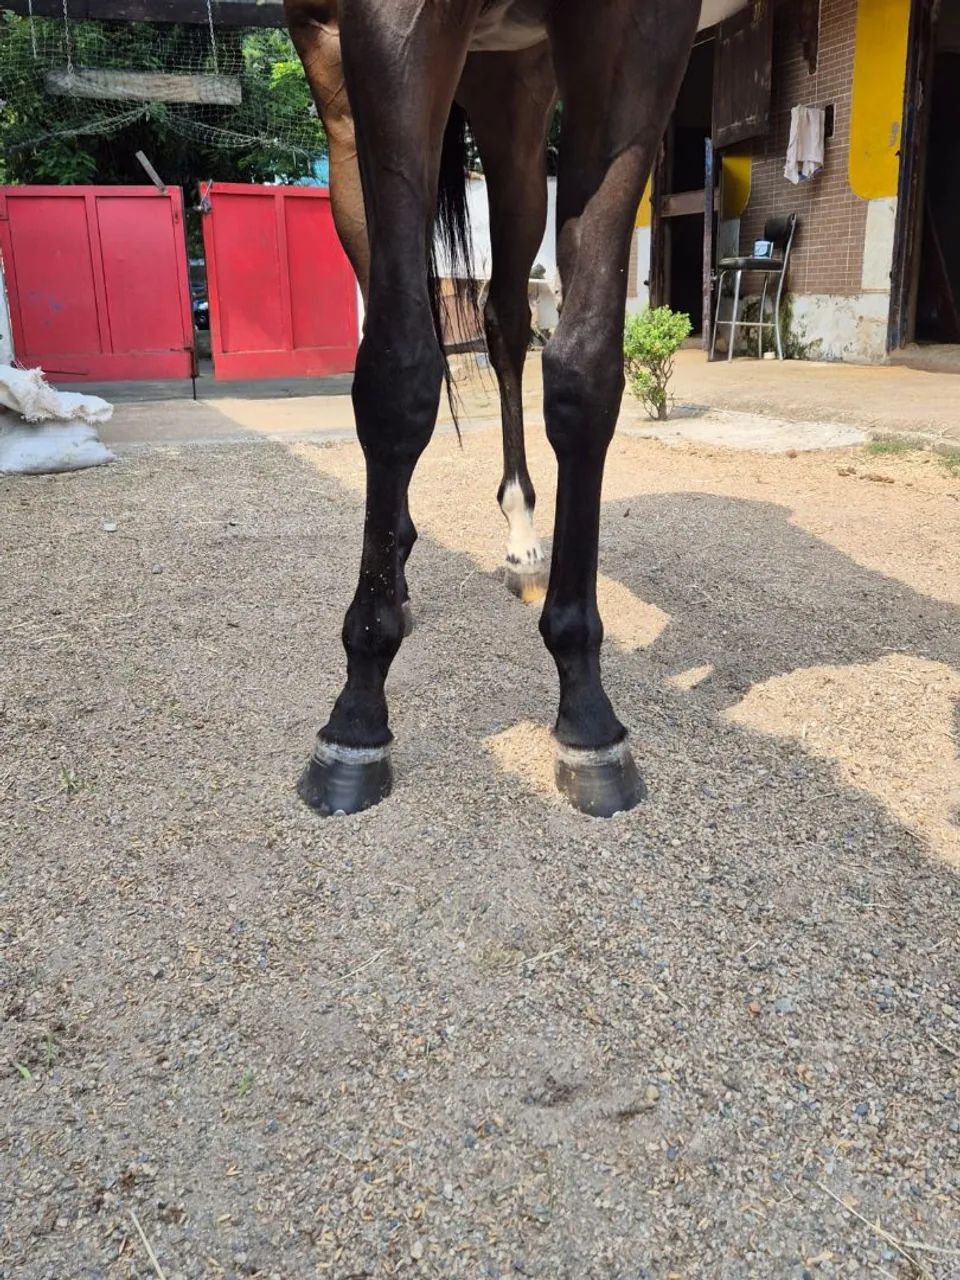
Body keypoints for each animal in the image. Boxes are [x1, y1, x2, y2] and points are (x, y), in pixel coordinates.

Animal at [284, 0, 701, 818]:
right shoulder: (385, 29)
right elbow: (396, 372)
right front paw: (356, 715)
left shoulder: (640, 37)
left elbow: (584, 373)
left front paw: (587, 712)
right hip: (340, 86)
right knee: (387, 278)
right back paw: (398, 574)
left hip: (515, 90)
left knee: (505, 320)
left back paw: (522, 539)